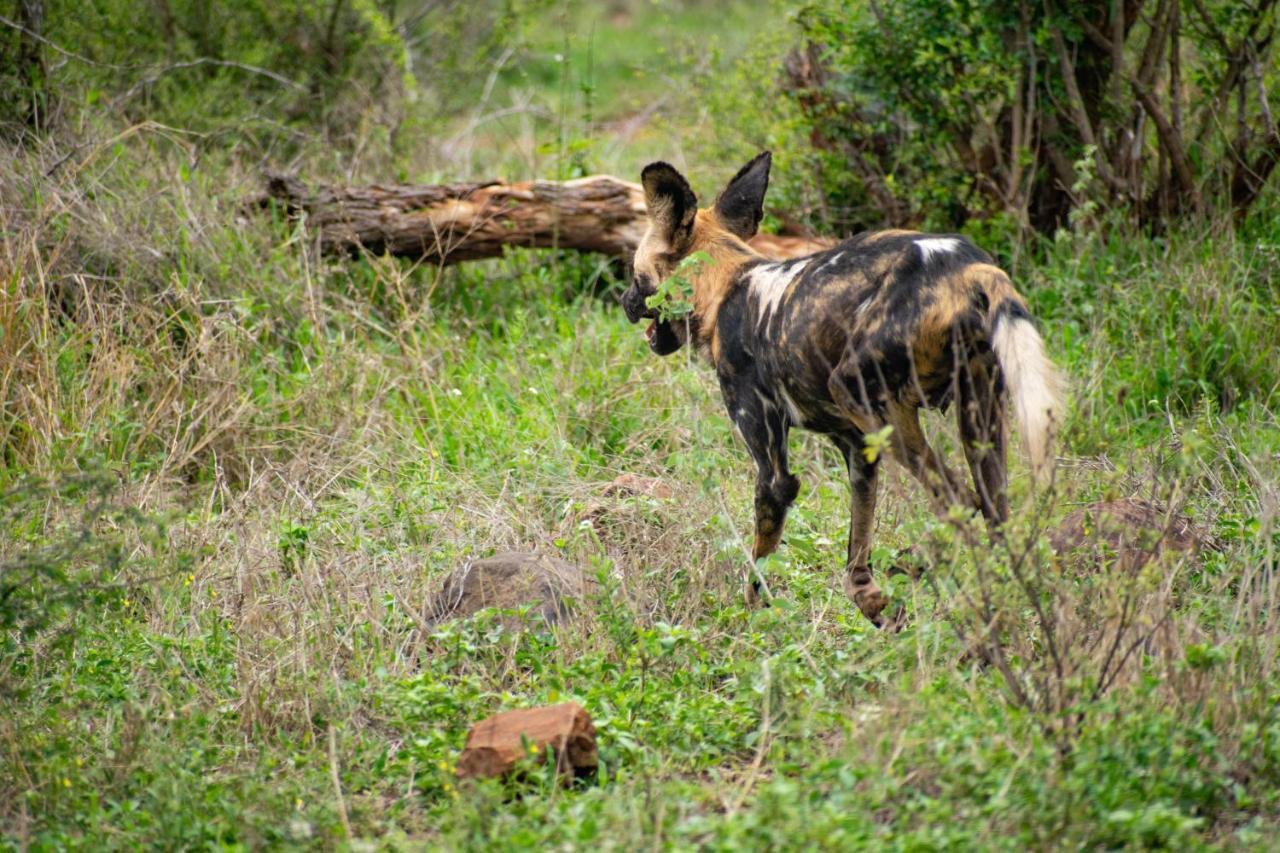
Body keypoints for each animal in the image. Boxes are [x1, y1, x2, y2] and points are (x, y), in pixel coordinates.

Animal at [619, 151, 1059, 625]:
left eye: (635, 275)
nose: (624, 302)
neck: (725, 287)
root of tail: (969, 266)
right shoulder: (858, 450)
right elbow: (855, 560)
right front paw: (876, 605)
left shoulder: (774, 473)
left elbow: (758, 570)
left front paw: (755, 622)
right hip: (978, 419)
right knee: (994, 514)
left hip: (863, 394)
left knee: (960, 500)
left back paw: (933, 577)